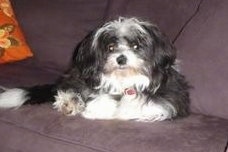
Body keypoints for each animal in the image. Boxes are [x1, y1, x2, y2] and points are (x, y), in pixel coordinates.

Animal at [0, 17, 190, 122]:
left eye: (136, 46)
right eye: (111, 47)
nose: (121, 59)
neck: (124, 81)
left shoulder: (170, 101)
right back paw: (70, 102)